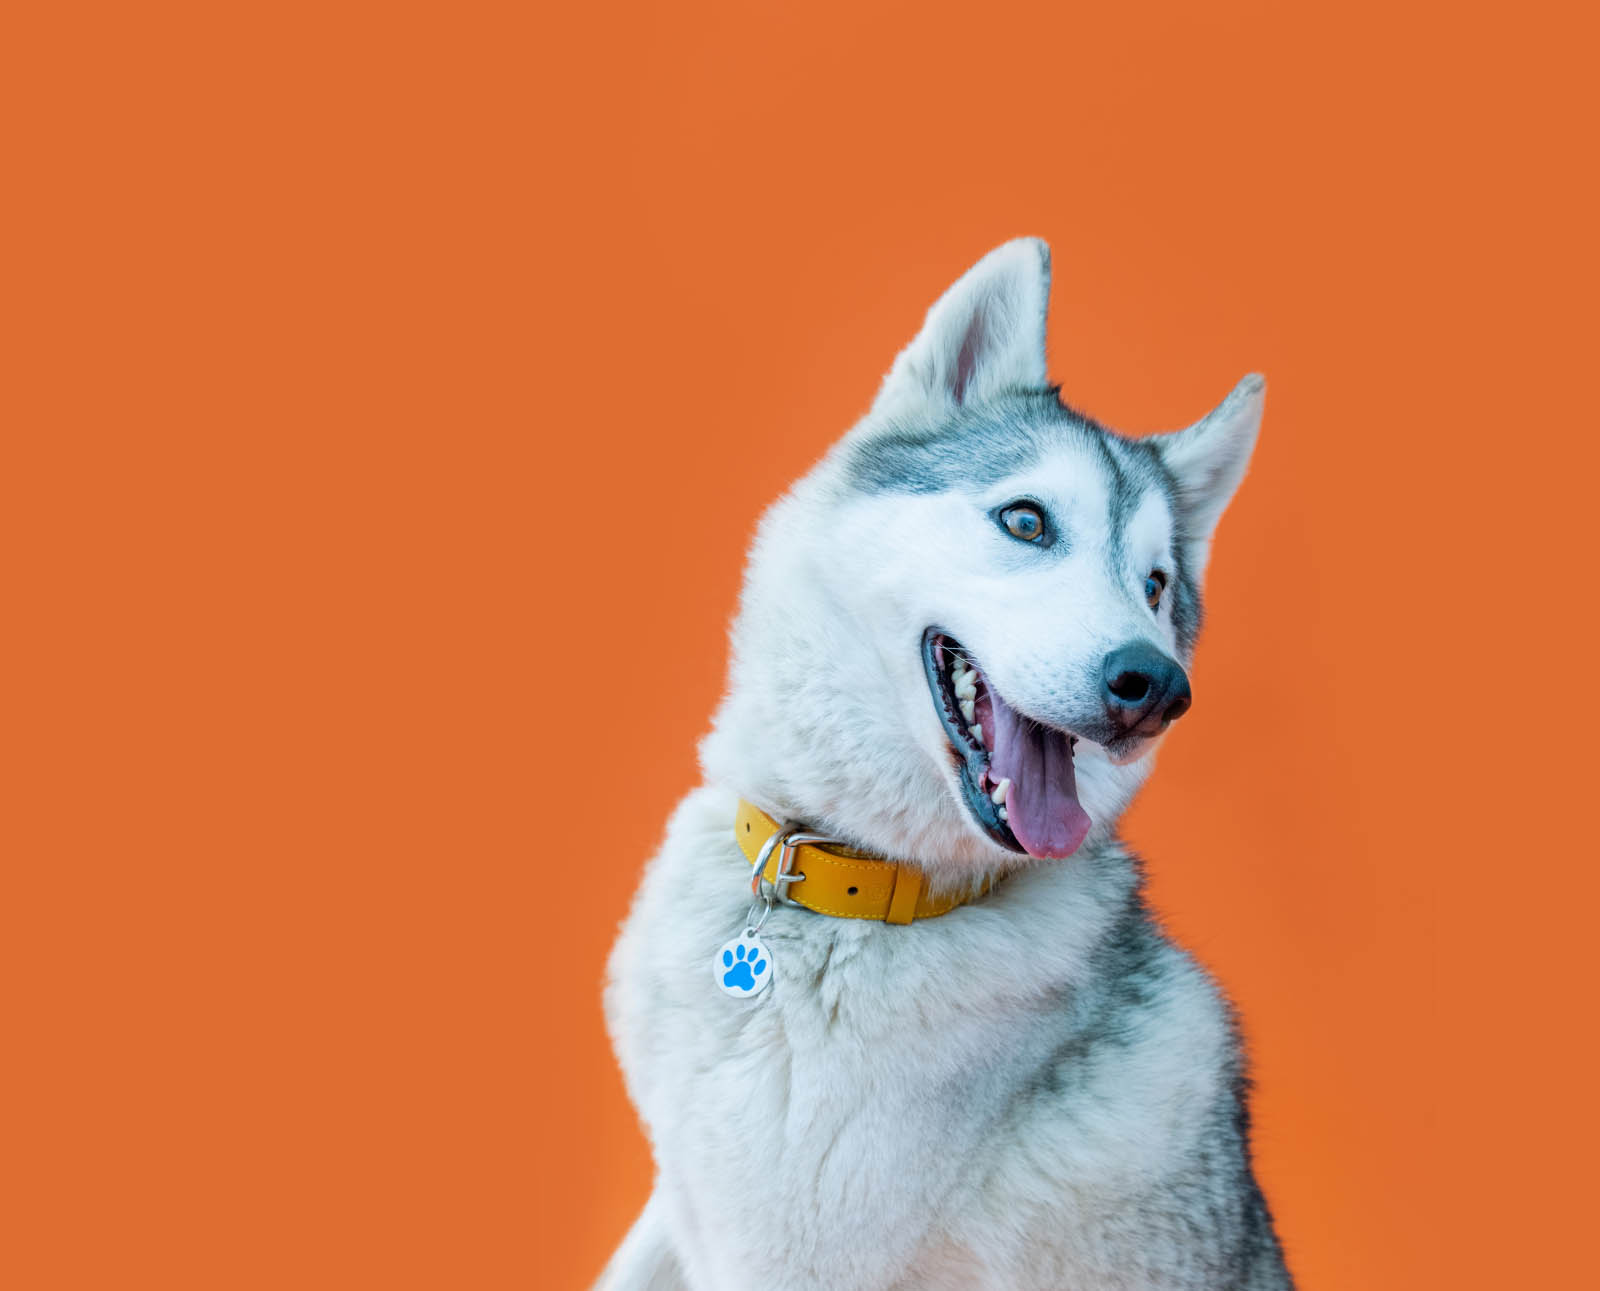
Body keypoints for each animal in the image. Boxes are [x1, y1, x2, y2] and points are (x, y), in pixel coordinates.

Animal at [599, 239, 1293, 1290]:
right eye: (1027, 521)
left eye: (1154, 585)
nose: (1158, 686)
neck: (834, 887)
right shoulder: (675, 1199)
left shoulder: (788, 1253)